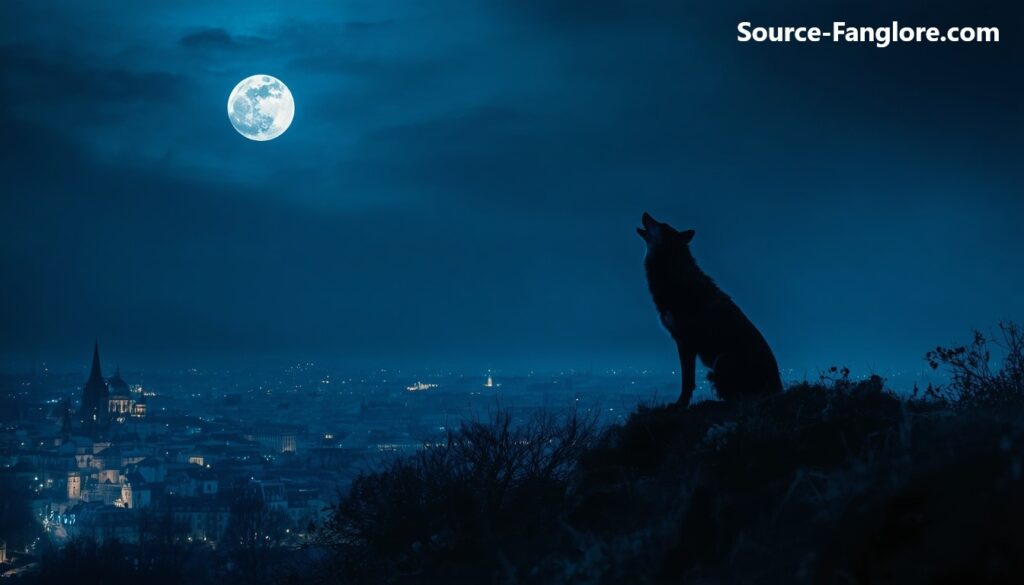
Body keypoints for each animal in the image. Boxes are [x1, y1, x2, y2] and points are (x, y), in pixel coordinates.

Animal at [637, 212, 782, 406]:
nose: (645, 213)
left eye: (662, 225)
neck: (675, 274)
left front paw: (680, 404)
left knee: (739, 400)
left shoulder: (685, 342)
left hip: (722, 360)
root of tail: (778, 391)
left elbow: (687, 380)